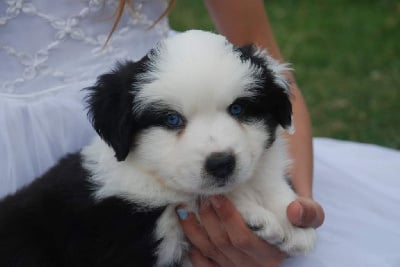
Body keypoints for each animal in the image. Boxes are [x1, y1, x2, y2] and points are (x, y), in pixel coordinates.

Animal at [0, 30, 316, 266]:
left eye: (238, 108)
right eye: (172, 119)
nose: (221, 164)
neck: (154, 176)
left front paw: (289, 217)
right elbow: (197, 200)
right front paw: (259, 215)